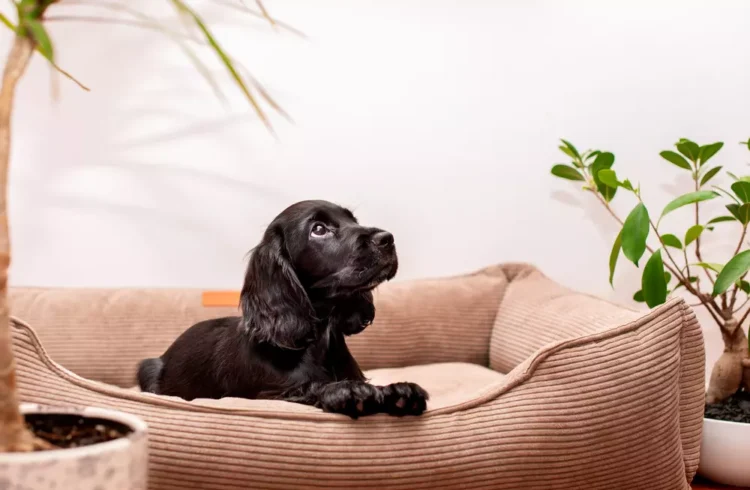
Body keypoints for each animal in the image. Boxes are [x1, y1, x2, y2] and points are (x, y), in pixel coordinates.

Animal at [136, 199, 428, 418]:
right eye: (318, 229)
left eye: (353, 220)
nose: (387, 239)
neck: (318, 338)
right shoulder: (266, 394)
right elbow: (307, 388)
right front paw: (345, 391)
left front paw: (398, 391)